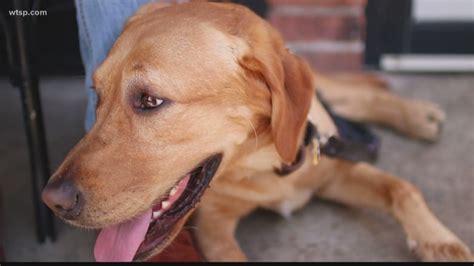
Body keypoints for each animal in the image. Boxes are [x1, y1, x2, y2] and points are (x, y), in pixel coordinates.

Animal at [41, 1, 474, 262]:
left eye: (149, 100)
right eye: (96, 95)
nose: (51, 200)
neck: (265, 166)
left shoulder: (333, 174)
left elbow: (404, 188)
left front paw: (440, 240)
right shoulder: (214, 227)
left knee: (352, 91)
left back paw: (418, 114)